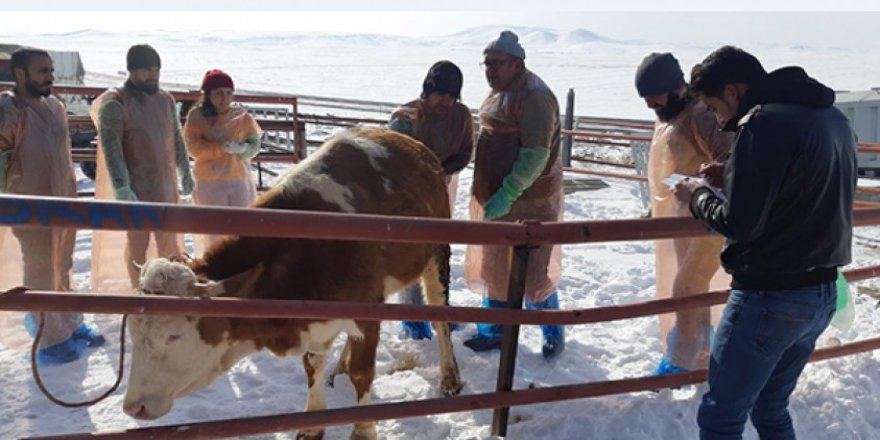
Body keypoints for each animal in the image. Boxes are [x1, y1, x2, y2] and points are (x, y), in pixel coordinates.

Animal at [125, 125, 468, 438]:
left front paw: (363, 430)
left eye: (174, 336)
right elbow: (313, 365)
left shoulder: (367, 310)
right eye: (133, 334)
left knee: (440, 317)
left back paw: (450, 377)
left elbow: (363, 372)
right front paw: (313, 423)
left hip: (437, 256)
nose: (132, 406)